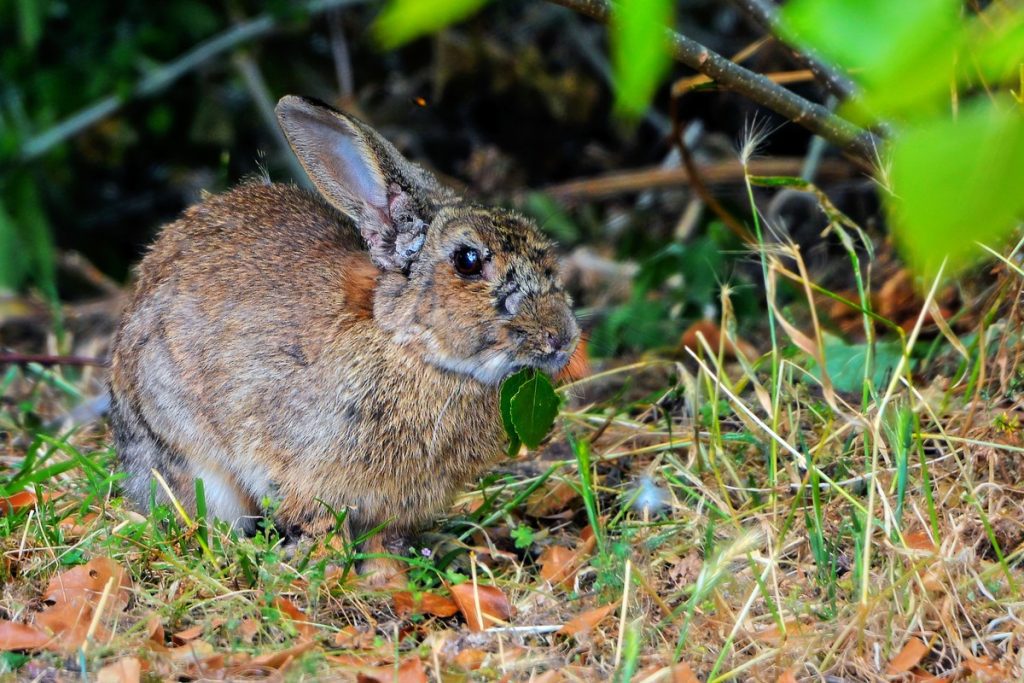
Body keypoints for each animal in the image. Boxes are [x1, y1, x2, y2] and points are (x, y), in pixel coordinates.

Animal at [108, 95, 579, 583]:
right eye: (467, 261)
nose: (560, 338)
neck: (406, 345)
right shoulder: (297, 467)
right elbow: (318, 522)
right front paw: (332, 571)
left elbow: (382, 543)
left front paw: (387, 579)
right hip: (189, 457)